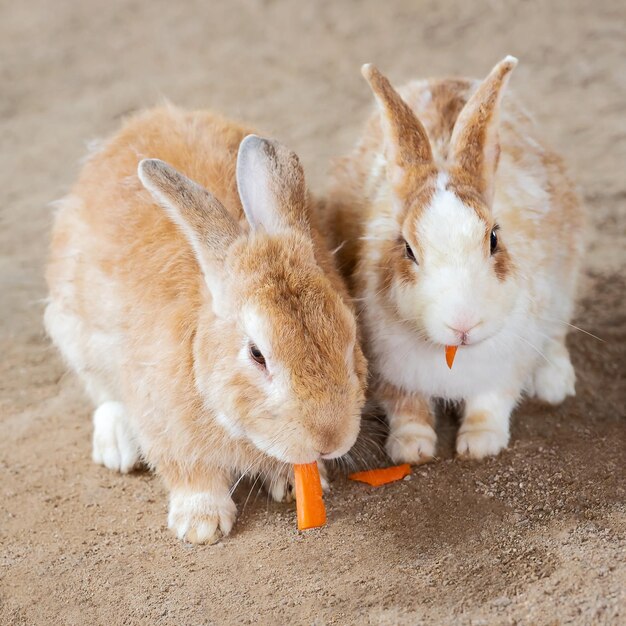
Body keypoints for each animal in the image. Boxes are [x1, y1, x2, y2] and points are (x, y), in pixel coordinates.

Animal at [46, 106, 366, 540]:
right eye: (257, 355)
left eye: (349, 335)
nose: (329, 439)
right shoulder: (165, 427)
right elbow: (190, 473)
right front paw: (201, 524)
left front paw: (290, 483)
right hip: (74, 332)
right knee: (102, 394)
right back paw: (116, 446)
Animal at [324, 56, 584, 460]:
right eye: (407, 248)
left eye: (493, 238)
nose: (463, 325)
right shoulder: (390, 372)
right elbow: (407, 407)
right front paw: (410, 449)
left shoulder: (506, 367)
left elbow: (490, 403)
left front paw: (479, 444)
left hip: (565, 279)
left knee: (557, 335)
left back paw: (554, 385)